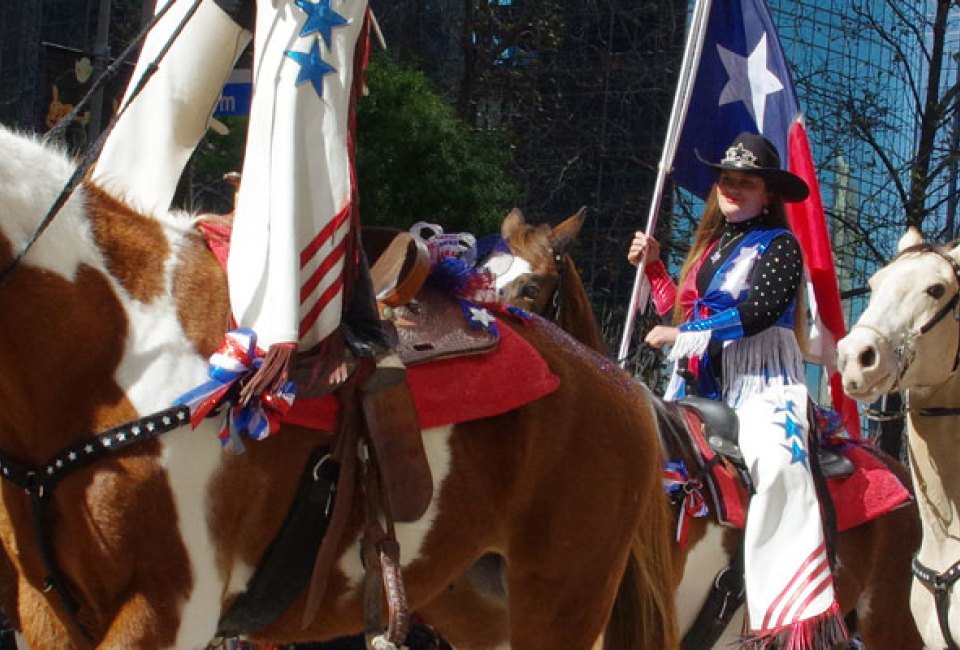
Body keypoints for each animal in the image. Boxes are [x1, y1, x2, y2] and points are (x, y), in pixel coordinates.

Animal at [0, 128, 680, 648]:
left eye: (537, 284)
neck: (119, 342)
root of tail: (626, 389)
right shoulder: (45, 610)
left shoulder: (169, 605)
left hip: (563, 604)